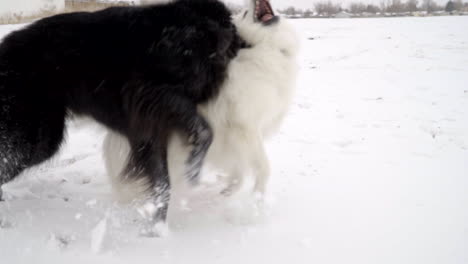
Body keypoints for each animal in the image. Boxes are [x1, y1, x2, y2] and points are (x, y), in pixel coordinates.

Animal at [0, 0, 241, 233]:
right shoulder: (149, 97)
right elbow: (203, 130)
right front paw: (192, 167)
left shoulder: (150, 131)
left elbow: (163, 182)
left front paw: (158, 226)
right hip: (33, 138)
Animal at [103, 0, 300, 229]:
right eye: (244, 13)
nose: (250, 2)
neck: (262, 48)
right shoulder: (245, 128)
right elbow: (263, 167)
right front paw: (257, 199)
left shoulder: (233, 137)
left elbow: (239, 169)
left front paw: (230, 189)